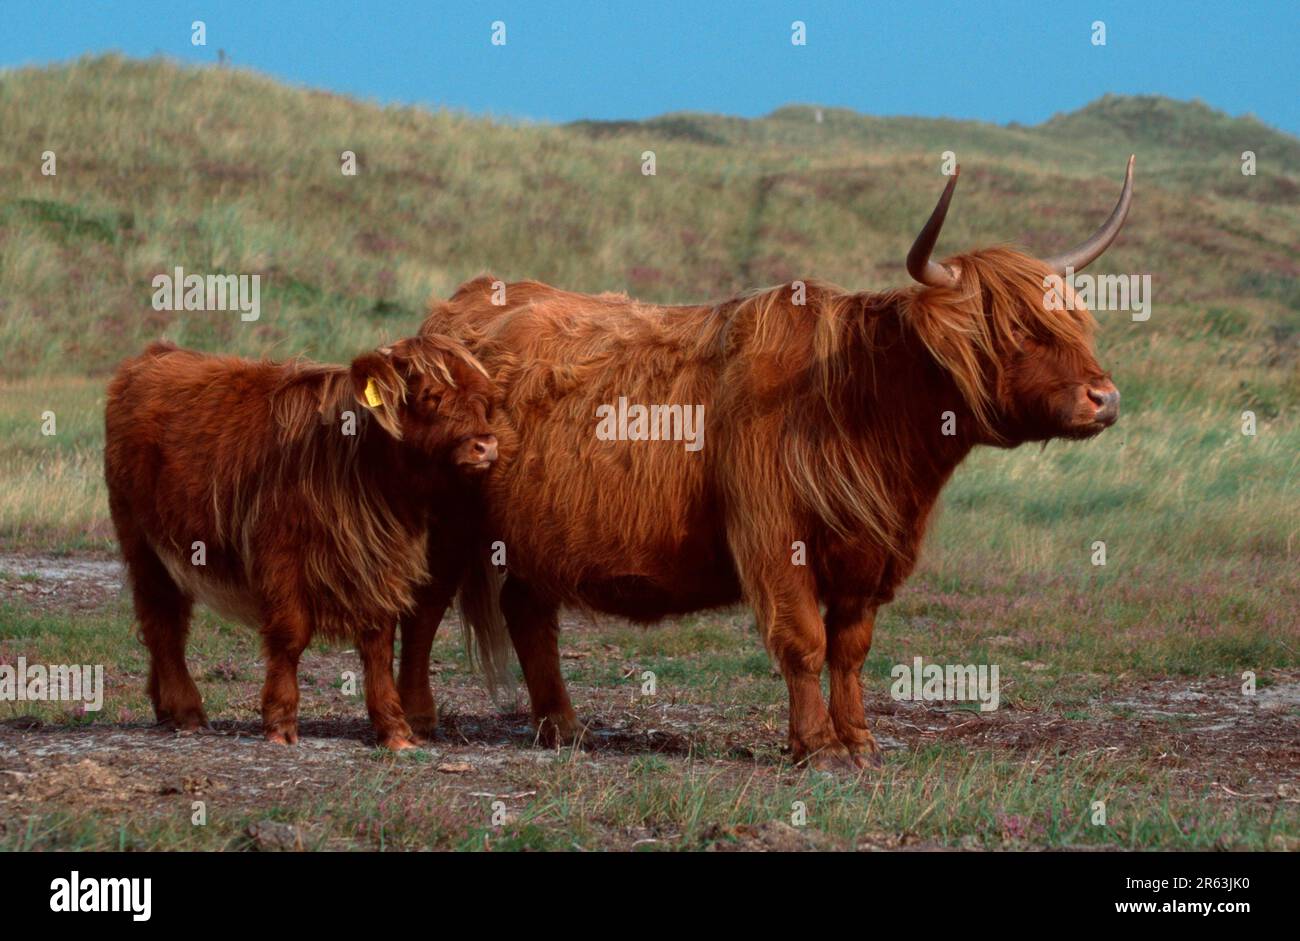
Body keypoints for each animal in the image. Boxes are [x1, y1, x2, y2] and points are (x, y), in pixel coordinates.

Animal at [104, 334, 502, 749]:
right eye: (429, 396)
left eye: (486, 399)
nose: (486, 446)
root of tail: (156, 353)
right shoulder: (280, 559)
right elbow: (289, 637)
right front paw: (279, 722)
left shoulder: (379, 564)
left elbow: (378, 644)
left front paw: (393, 728)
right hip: (144, 546)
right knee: (161, 622)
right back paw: (187, 711)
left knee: (169, 622)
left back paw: (164, 707)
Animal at [404, 159, 1134, 769]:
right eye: (1012, 331)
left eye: (1075, 322)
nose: (1105, 397)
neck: (864, 405)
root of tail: (453, 312)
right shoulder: (774, 537)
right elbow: (804, 640)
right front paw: (819, 747)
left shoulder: (869, 552)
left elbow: (850, 648)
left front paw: (859, 739)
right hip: (447, 522)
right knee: (425, 602)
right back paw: (418, 718)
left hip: (538, 530)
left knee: (528, 610)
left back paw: (562, 725)